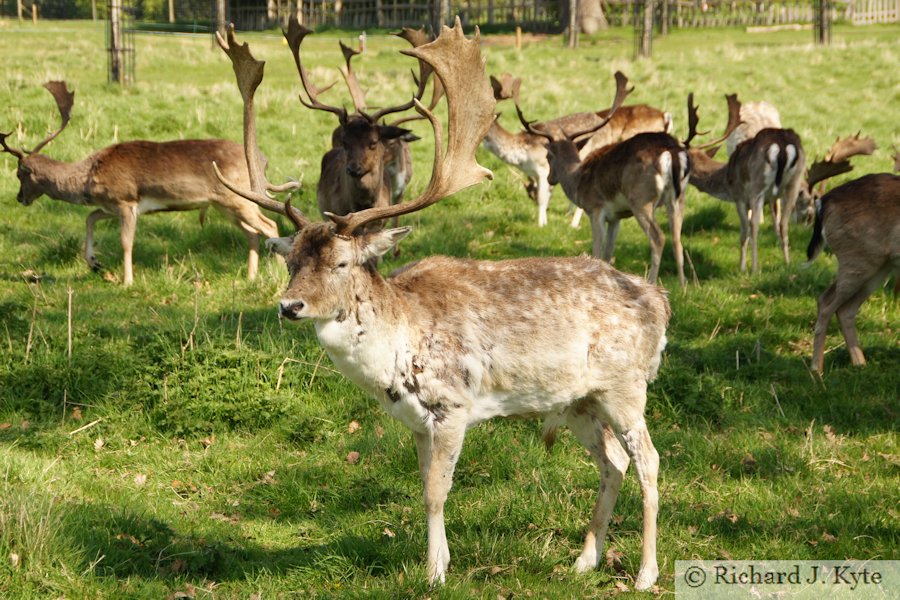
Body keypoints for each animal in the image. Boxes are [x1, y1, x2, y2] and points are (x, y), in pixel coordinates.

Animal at [0, 81, 282, 286]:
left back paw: (278, 273)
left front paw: (127, 281)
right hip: (224, 205)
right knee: (252, 233)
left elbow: (126, 241)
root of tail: (262, 160)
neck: (89, 177)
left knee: (270, 225)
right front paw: (94, 262)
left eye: (20, 173)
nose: (19, 198)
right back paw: (250, 276)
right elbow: (90, 217)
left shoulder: (126, 200)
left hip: (238, 199)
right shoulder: (111, 205)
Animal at [482, 72, 672, 227]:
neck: (522, 154)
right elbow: (548, 195)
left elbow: (543, 198)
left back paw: (574, 223)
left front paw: (541, 224)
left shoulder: (542, 169)